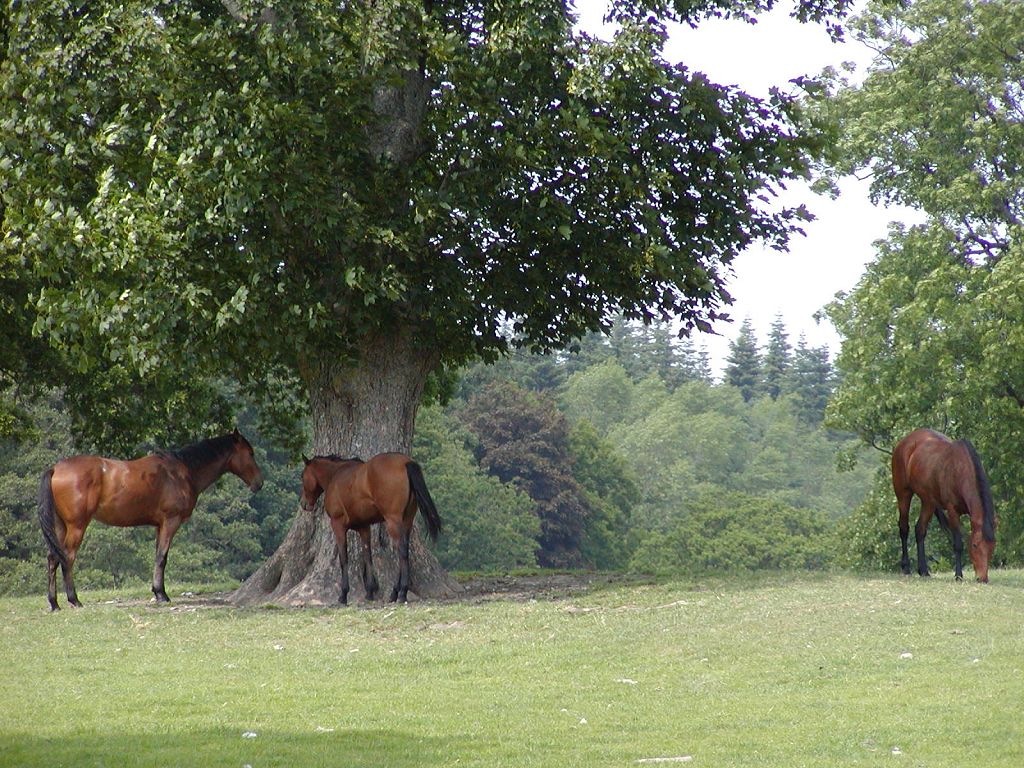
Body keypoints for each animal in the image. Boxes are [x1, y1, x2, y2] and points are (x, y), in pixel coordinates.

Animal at [38, 430, 264, 610]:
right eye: (250, 453)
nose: (259, 483)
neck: (181, 472)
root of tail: (56, 469)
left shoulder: (159, 526)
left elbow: (158, 556)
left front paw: (157, 591)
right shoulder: (170, 522)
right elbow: (162, 558)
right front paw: (162, 594)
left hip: (60, 526)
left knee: (53, 558)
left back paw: (54, 603)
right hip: (77, 526)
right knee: (67, 558)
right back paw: (73, 599)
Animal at [296, 450, 440, 606]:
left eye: (302, 476)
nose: (304, 503)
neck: (335, 476)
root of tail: (405, 462)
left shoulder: (338, 525)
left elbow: (343, 558)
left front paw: (343, 594)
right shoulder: (364, 527)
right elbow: (367, 556)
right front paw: (370, 591)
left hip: (393, 521)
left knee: (401, 551)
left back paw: (402, 592)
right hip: (407, 521)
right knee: (404, 549)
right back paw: (394, 592)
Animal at [892, 428, 995, 581]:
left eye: (992, 546)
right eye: (975, 545)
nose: (982, 578)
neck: (959, 469)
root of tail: (904, 442)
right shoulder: (952, 511)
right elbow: (958, 543)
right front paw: (958, 575)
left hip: (928, 502)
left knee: (920, 530)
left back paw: (924, 570)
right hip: (903, 494)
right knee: (904, 528)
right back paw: (906, 567)